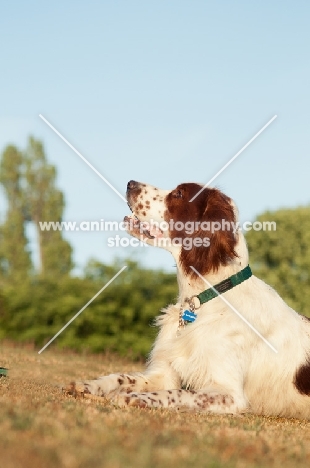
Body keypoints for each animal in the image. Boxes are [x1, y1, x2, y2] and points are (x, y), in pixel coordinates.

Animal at [66, 181, 310, 418]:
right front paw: (89, 385)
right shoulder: (163, 374)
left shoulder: (229, 394)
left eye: (179, 194)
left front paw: (135, 398)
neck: (208, 296)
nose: (130, 183)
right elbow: (122, 376)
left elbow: (177, 393)